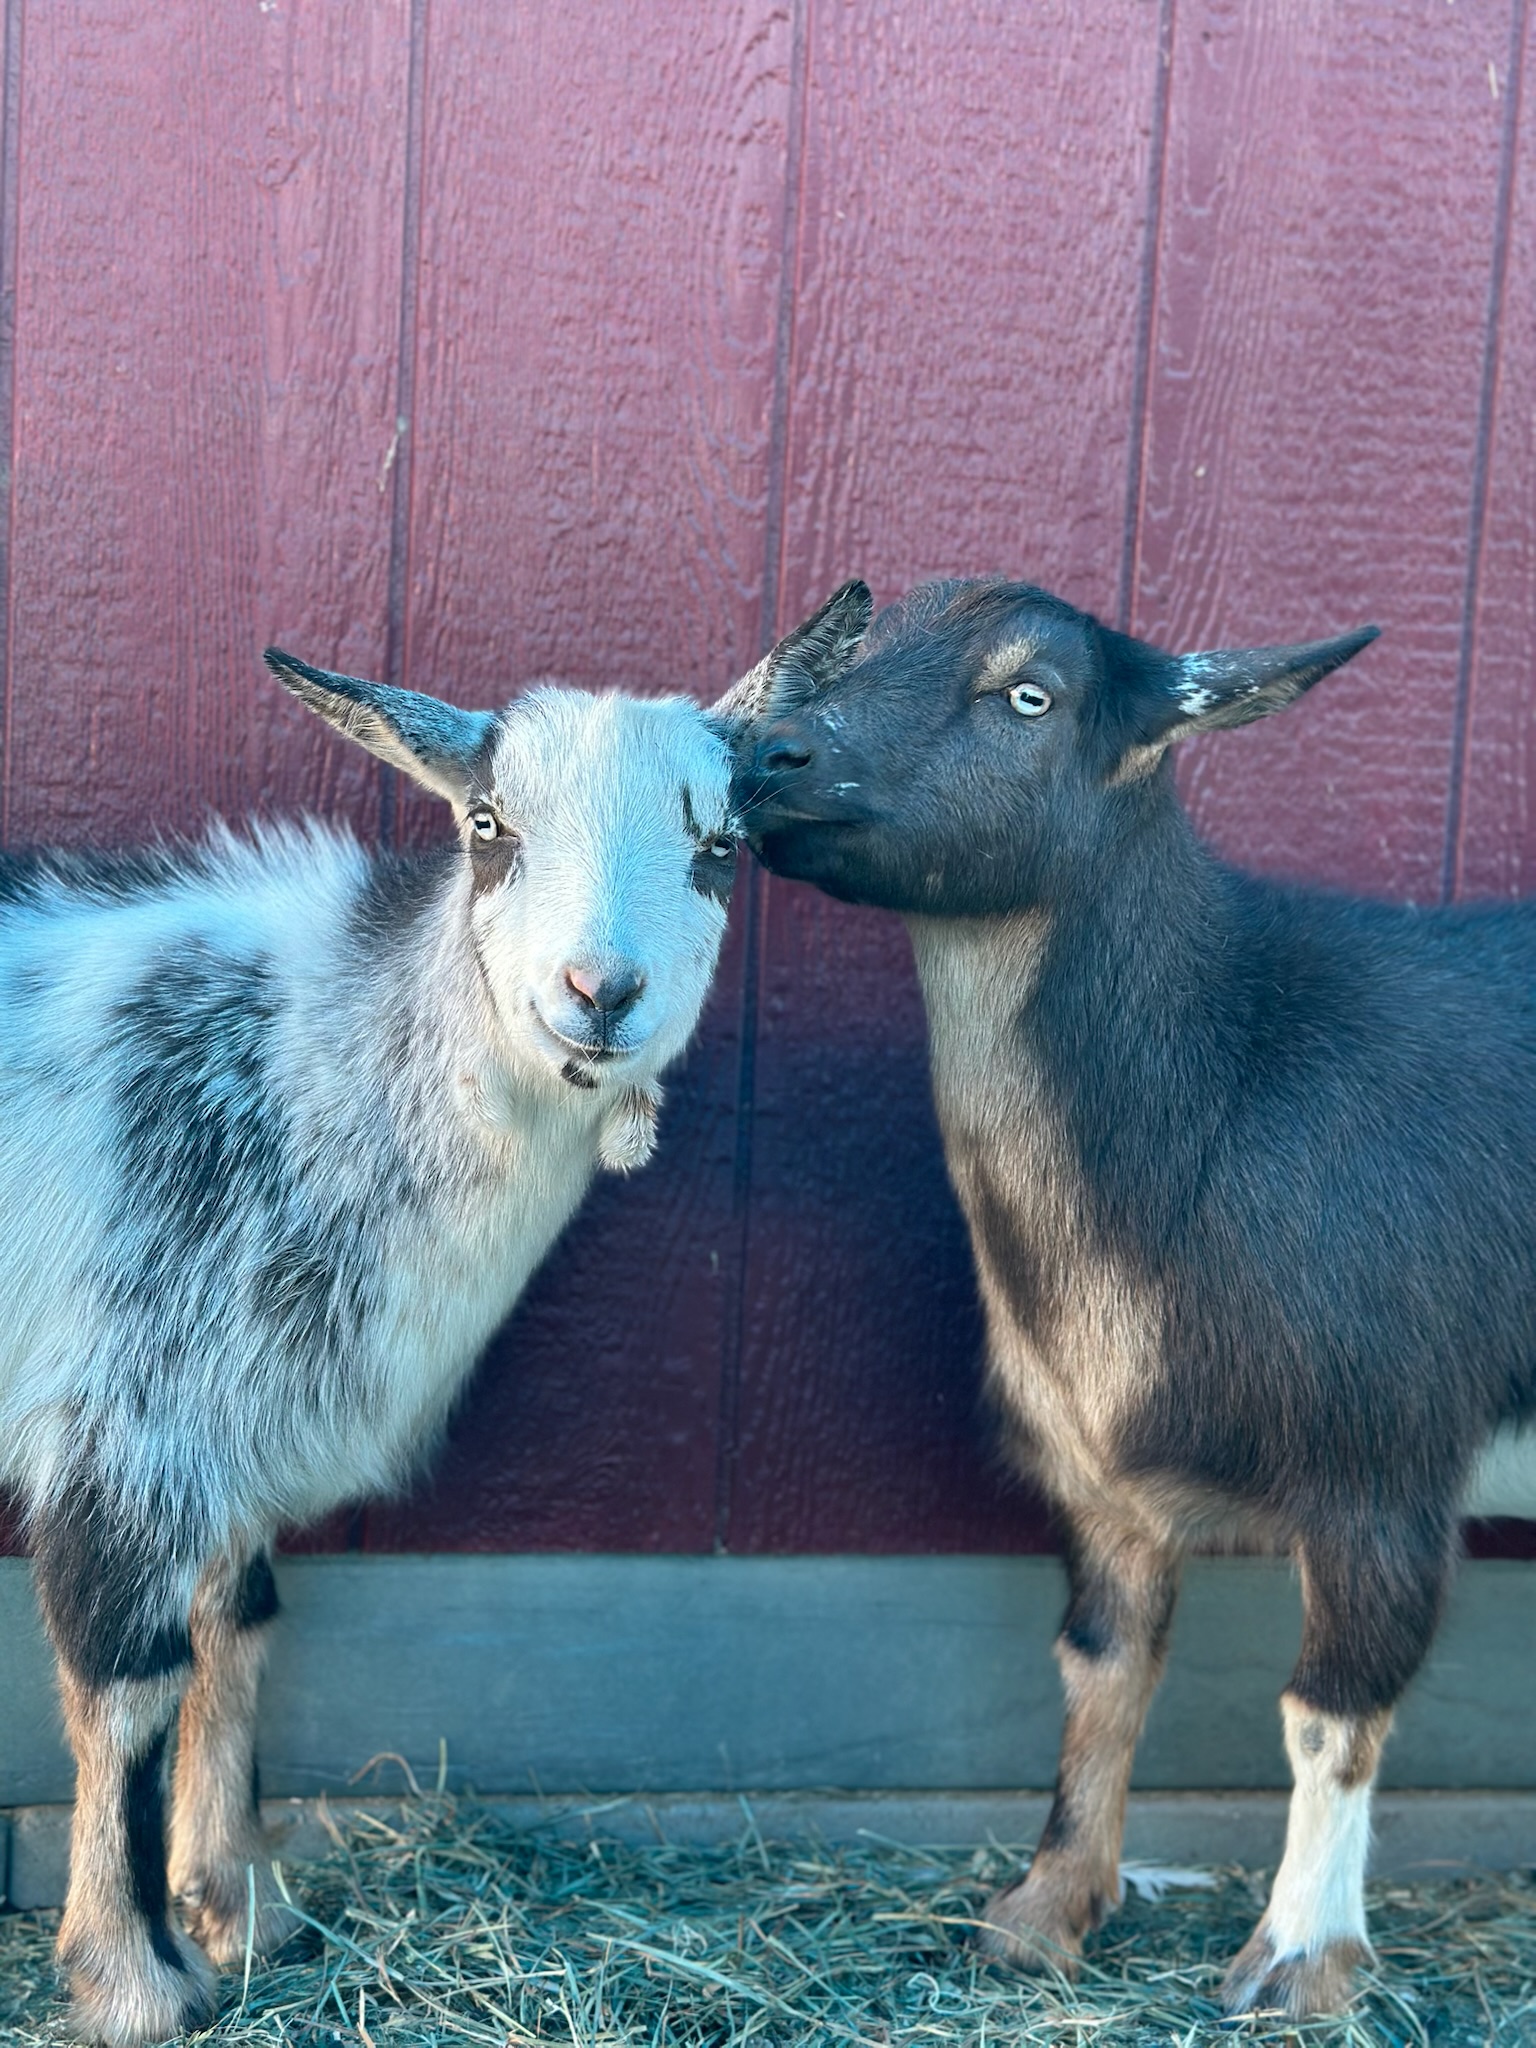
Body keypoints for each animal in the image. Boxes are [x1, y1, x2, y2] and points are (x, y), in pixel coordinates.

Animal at [1, 651, 738, 2046]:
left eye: (722, 843)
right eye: (488, 824)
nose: (601, 991)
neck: (307, 1066)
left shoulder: (235, 1418)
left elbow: (238, 1625)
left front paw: (243, 1903)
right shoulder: (123, 1423)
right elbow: (129, 1681)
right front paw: (134, 1977)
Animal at [724, 577, 1536, 2019]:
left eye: (1028, 693)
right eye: (863, 642)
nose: (776, 757)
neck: (1227, 1089)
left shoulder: (1382, 1466)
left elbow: (1329, 1714)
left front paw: (1299, 1959)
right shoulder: (1100, 1480)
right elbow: (1102, 1672)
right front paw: (1044, 1910)